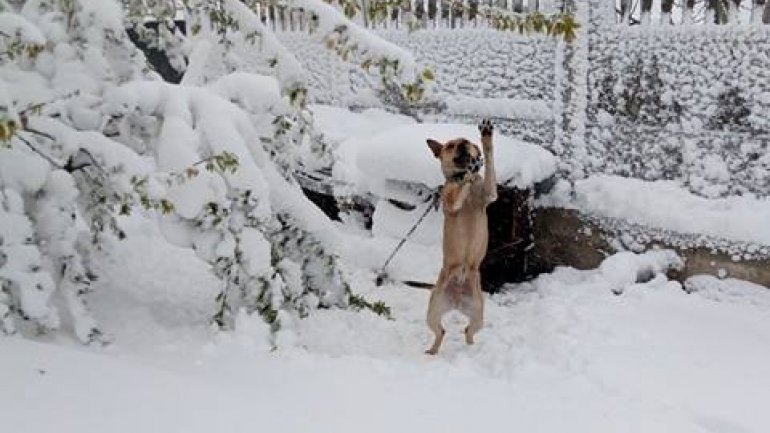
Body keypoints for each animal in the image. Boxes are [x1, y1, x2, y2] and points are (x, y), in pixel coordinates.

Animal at [424, 119, 496, 354]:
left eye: (467, 142)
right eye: (450, 145)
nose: (464, 144)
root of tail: (456, 299)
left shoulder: (489, 193)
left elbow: (489, 163)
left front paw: (485, 140)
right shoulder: (451, 202)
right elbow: (456, 190)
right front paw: (467, 172)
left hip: (478, 314)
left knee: (468, 331)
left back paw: (471, 349)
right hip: (432, 310)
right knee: (441, 332)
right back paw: (432, 352)